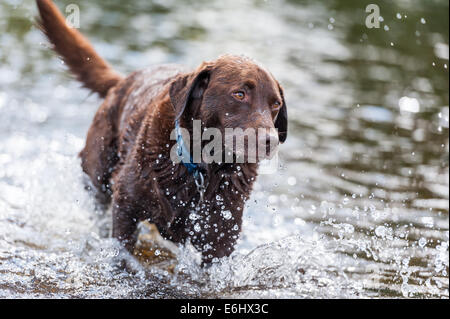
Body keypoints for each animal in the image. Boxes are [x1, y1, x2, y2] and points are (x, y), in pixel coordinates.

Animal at [37, 0, 286, 264]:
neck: (202, 170)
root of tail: (123, 81)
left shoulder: (222, 237)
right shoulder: (125, 208)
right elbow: (122, 249)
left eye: (276, 104)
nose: (271, 141)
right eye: (239, 94)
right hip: (98, 178)